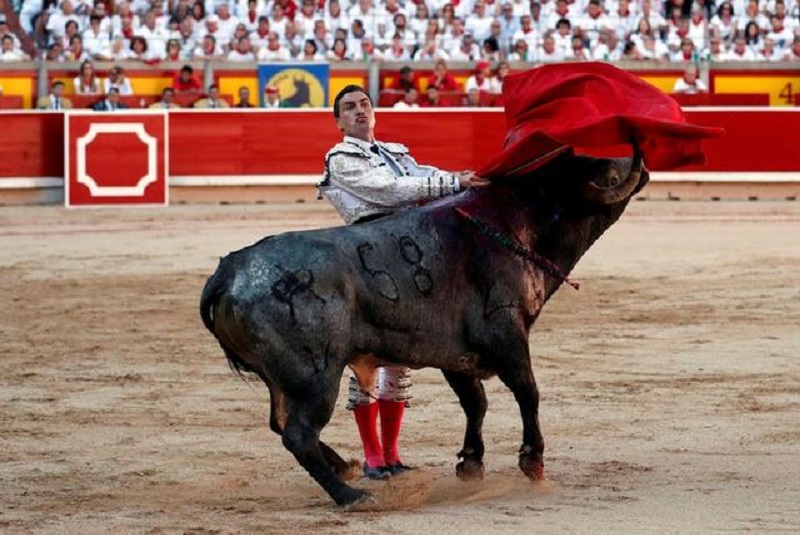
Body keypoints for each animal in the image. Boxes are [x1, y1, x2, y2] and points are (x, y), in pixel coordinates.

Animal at [202, 151, 648, 506]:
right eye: (606, 165)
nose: (639, 162)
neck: (518, 220)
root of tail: (230, 269)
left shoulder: (456, 354)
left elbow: (475, 403)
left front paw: (470, 464)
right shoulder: (505, 333)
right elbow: (528, 392)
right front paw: (533, 463)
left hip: (281, 378)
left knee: (281, 424)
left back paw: (347, 468)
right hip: (314, 376)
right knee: (297, 432)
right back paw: (351, 495)